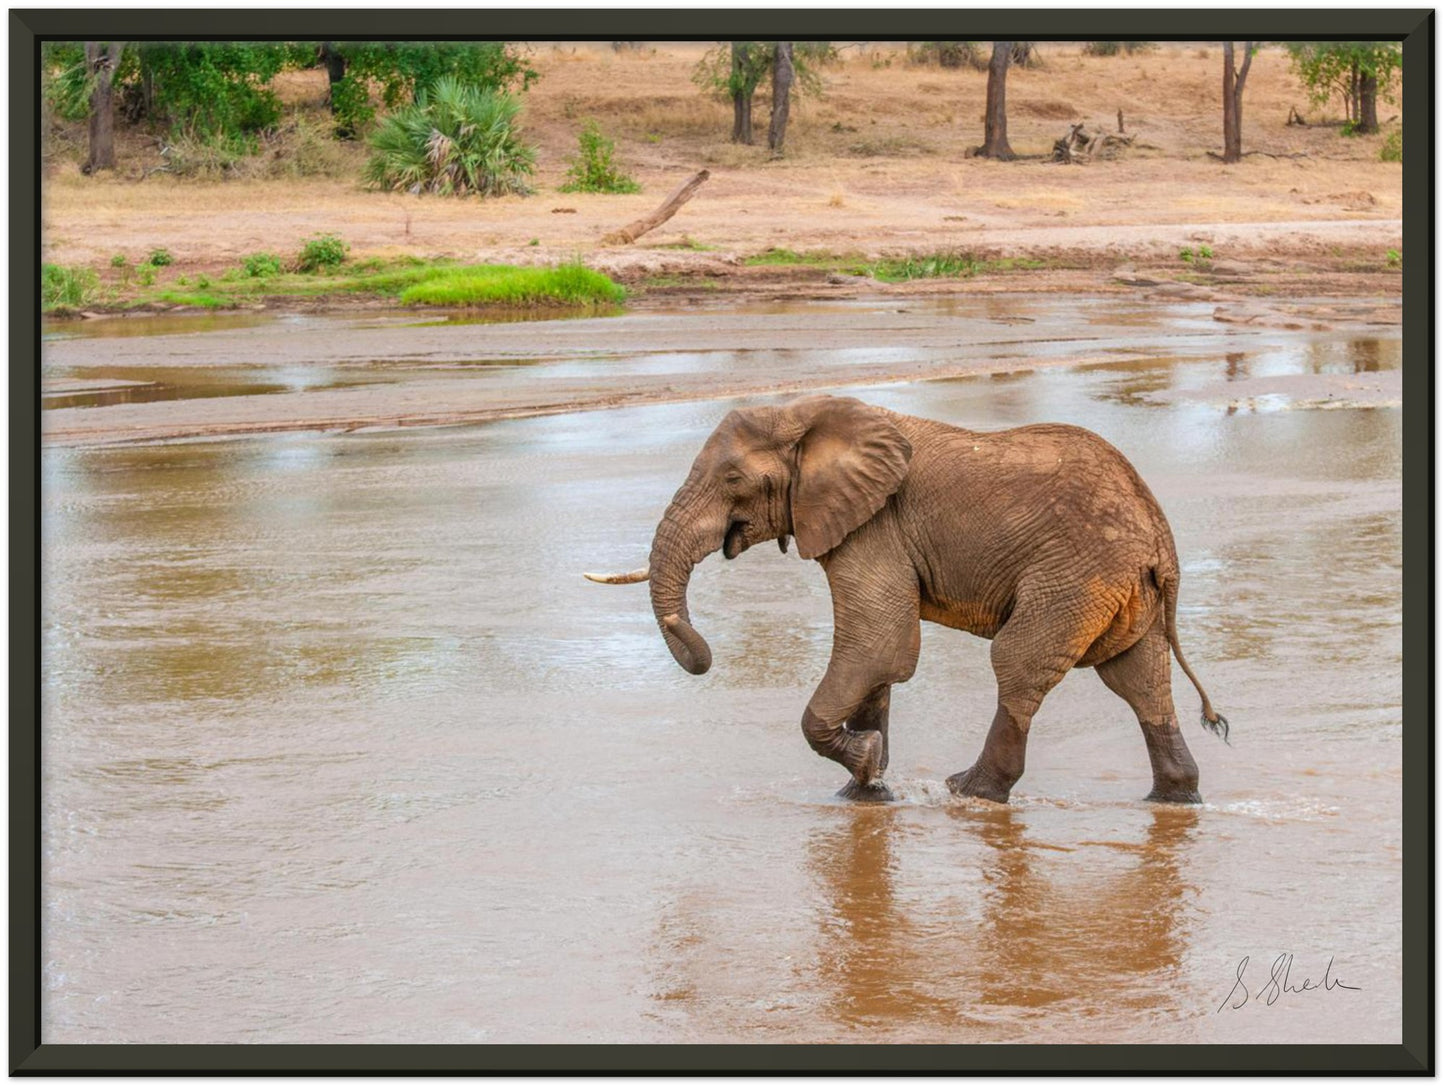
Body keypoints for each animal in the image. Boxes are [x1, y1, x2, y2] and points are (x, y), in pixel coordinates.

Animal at [586, 396, 1231, 803]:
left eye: (732, 481)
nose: (703, 657)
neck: (806, 413)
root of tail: (1159, 537)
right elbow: (879, 663)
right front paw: (865, 791)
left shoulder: (875, 526)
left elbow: (878, 644)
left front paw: (869, 766)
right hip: (1124, 591)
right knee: (1139, 680)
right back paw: (1175, 798)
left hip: (1074, 577)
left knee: (1018, 663)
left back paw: (969, 791)